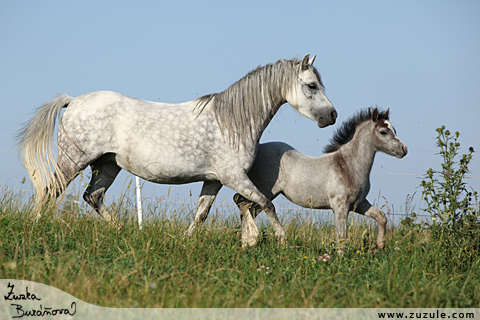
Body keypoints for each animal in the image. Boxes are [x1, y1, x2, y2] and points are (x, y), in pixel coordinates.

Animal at [16, 55, 336, 242]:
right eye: (311, 85)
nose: (331, 116)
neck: (231, 122)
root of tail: (73, 101)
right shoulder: (234, 177)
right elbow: (267, 204)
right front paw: (282, 240)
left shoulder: (214, 180)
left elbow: (201, 214)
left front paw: (185, 240)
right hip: (74, 160)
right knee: (51, 189)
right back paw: (35, 225)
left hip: (108, 164)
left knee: (92, 197)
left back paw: (123, 231)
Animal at [234, 109, 406, 249]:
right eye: (383, 132)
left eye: (395, 129)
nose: (404, 150)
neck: (347, 165)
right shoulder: (340, 207)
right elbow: (341, 237)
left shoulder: (359, 204)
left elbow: (381, 217)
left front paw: (379, 247)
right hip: (264, 191)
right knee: (245, 203)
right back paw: (254, 240)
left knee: (247, 207)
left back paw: (246, 242)